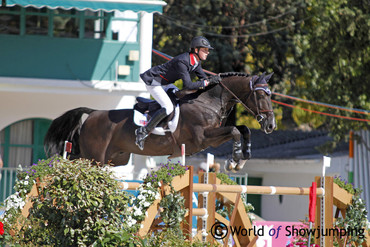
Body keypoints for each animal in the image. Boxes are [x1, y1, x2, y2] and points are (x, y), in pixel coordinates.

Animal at [44, 72, 274, 171]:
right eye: (261, 95)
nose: (271, 125)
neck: (207, 100)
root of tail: (92, 113)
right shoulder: (203, 138)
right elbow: (235, 131)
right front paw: (233, 159)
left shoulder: (212, 138)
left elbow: (244, 129)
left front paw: (243, 157)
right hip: (95, 158)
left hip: (113, 158)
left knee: (73, 158)